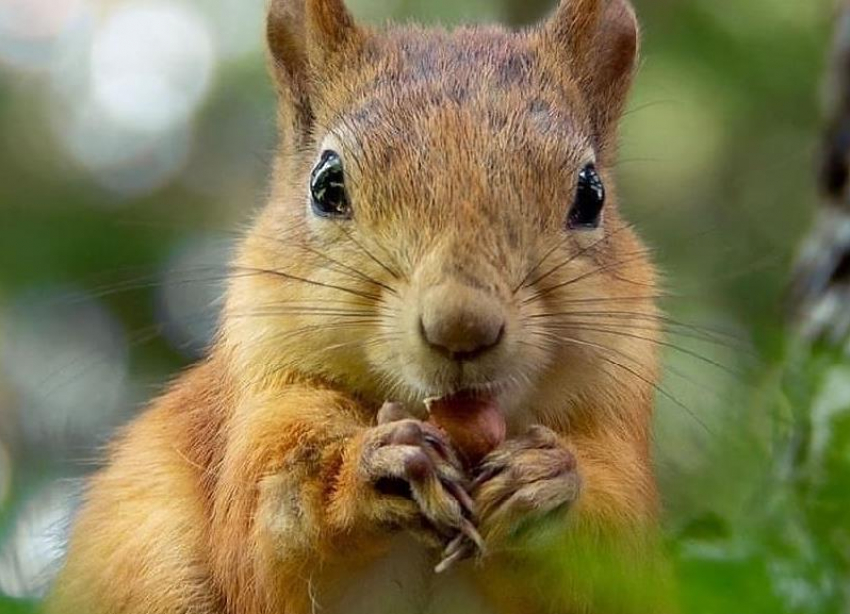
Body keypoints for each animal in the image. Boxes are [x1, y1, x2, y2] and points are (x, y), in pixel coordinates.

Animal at [48, 1, 668, 614]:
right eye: (326, 184)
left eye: (591, 194)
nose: (461, 327)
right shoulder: (267, 396)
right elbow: (265, 534)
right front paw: (376, 468)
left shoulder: (615, 412)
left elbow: (612, 543)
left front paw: (546, 481)